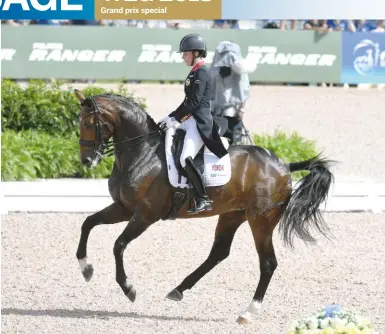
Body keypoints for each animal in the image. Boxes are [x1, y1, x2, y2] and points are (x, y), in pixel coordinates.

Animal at [74, 88, 332, 324]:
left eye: (90, 123)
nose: (87, 160)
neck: (142, 153)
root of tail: (284, 166)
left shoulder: (145, 214)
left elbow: (118, 245)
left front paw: (128, 288)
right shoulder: (123, 208)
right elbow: (88, 223)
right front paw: (86, 269)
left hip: (261, 220)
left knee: (267, 263)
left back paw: (247, 313)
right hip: (232, 215)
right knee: (219, 253)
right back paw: (178, 290)